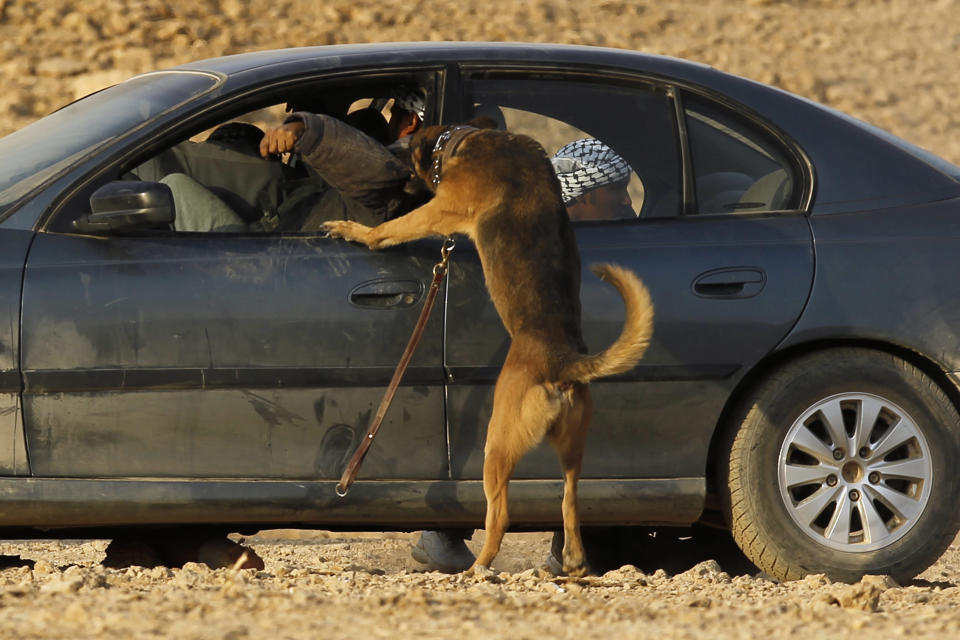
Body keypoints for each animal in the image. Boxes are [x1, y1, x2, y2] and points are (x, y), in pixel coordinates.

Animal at [322, 124, 652, 576]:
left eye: (405, 142)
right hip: (572, 448)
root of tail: (562, 362)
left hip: (497, 444)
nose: (384, 154)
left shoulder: (437, 211)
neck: (463, 139)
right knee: (570, 500)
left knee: (500, 514)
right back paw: (573, 560)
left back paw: (478, 567)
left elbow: (388, 230)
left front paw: (354, 229)